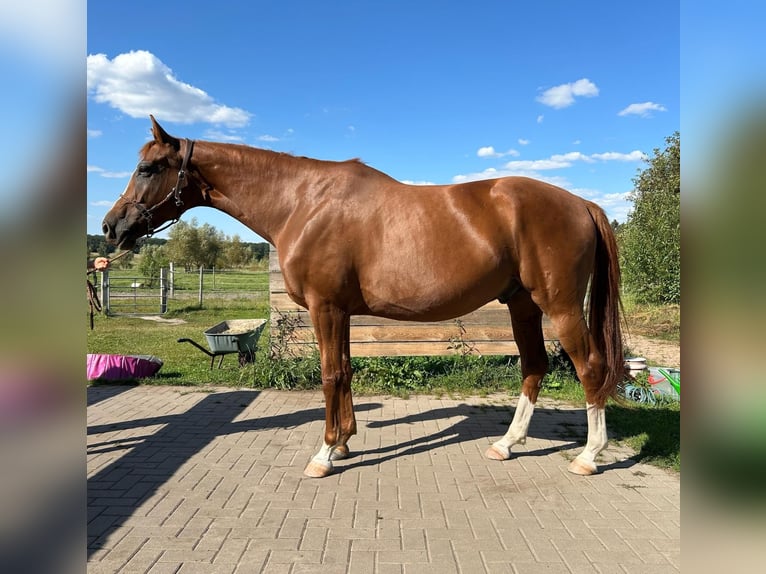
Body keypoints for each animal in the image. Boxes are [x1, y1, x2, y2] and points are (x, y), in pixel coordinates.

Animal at [103, 116, 624, 476]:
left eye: (147, 167)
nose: (111, 227)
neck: (302, 202)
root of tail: (582, 203)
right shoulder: (342, 311)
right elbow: (347, 370)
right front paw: (344, 442)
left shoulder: (326, 307)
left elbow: (331, 375)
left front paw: (323, 453)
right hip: (521, 304)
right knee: (534, 366)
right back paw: (506, 445)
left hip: (559, 306)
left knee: (590, 367)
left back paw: (589, 456)